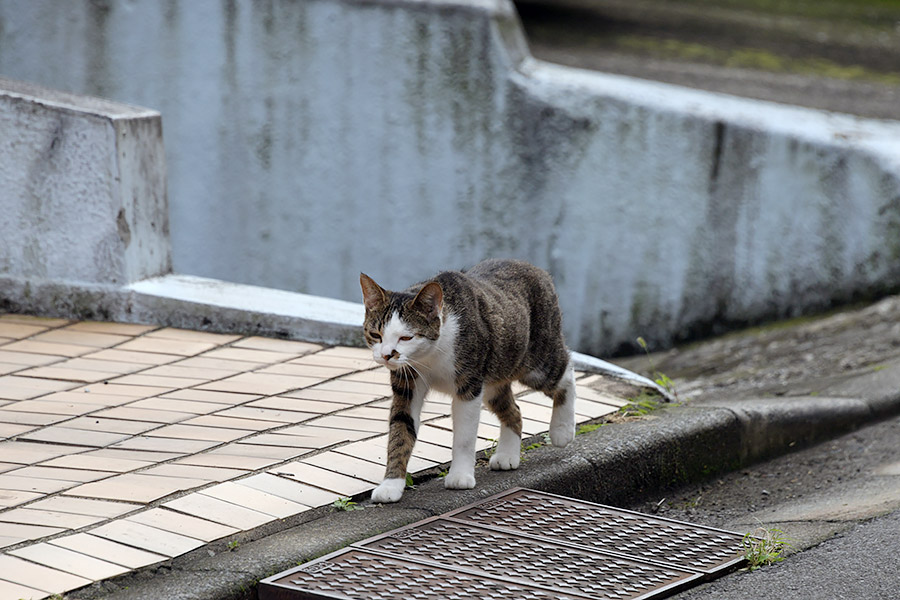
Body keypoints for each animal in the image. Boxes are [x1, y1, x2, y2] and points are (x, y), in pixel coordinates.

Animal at [358, 258, 576, 502]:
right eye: (376, 335)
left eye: (406, 337)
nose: (386, 355)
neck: (429, 357)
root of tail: (536, 268)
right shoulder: (407, 383)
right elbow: (400, 430)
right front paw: (391, 485)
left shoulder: (469, 385)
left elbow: (464, 435)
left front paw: (460, 476)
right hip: (494, 378)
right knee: (514, 410)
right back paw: (507, 455)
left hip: (536, 362)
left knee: (566, 373)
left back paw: (562, 430)